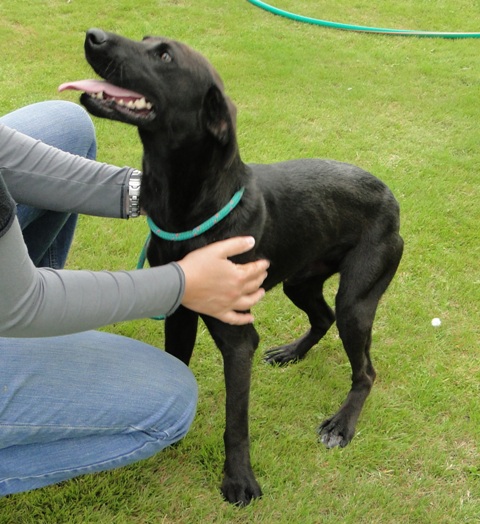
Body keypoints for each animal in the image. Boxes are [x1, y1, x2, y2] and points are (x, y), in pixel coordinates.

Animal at [64, 29, 402, 508]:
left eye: (164, 56)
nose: (94, 36)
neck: (191, 211)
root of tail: (391, 197)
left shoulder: (239, 339)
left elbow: (236, 422)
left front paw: (239, 478)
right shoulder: (181, 311)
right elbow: (179, 366)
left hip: (356, 300)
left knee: (365, 369)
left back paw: (342, 423)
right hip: (300, 281)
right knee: (322, 317)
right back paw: (292, 352)